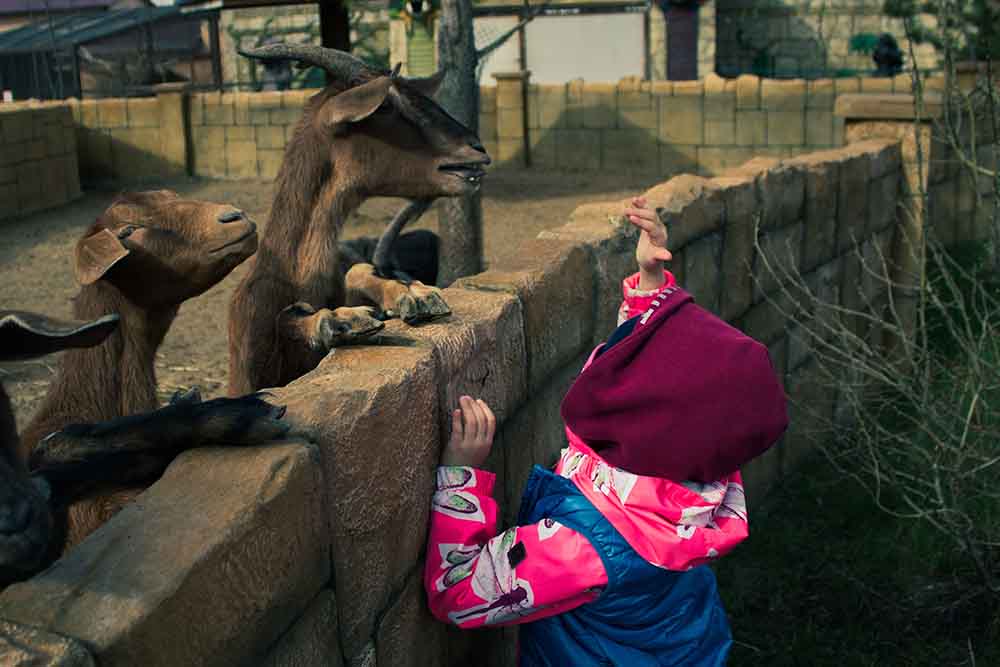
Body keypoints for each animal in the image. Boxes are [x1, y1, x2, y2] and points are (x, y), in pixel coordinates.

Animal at [228, 43, 492, 396]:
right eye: (386, 106)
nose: (477, 149)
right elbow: (288, 322)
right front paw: (340, 320)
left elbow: (360, 272)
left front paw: (414, 295)